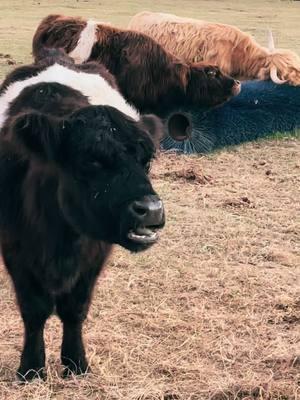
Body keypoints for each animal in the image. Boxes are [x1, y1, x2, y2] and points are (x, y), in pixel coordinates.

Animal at [0, 48, 165, 380]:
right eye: (91, 161)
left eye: (146, 162)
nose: (151, 210)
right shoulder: (14, 250)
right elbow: (34, 310)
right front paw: (31, 368)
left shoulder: (95, 253)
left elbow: (75, 309)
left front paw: (76, 363)